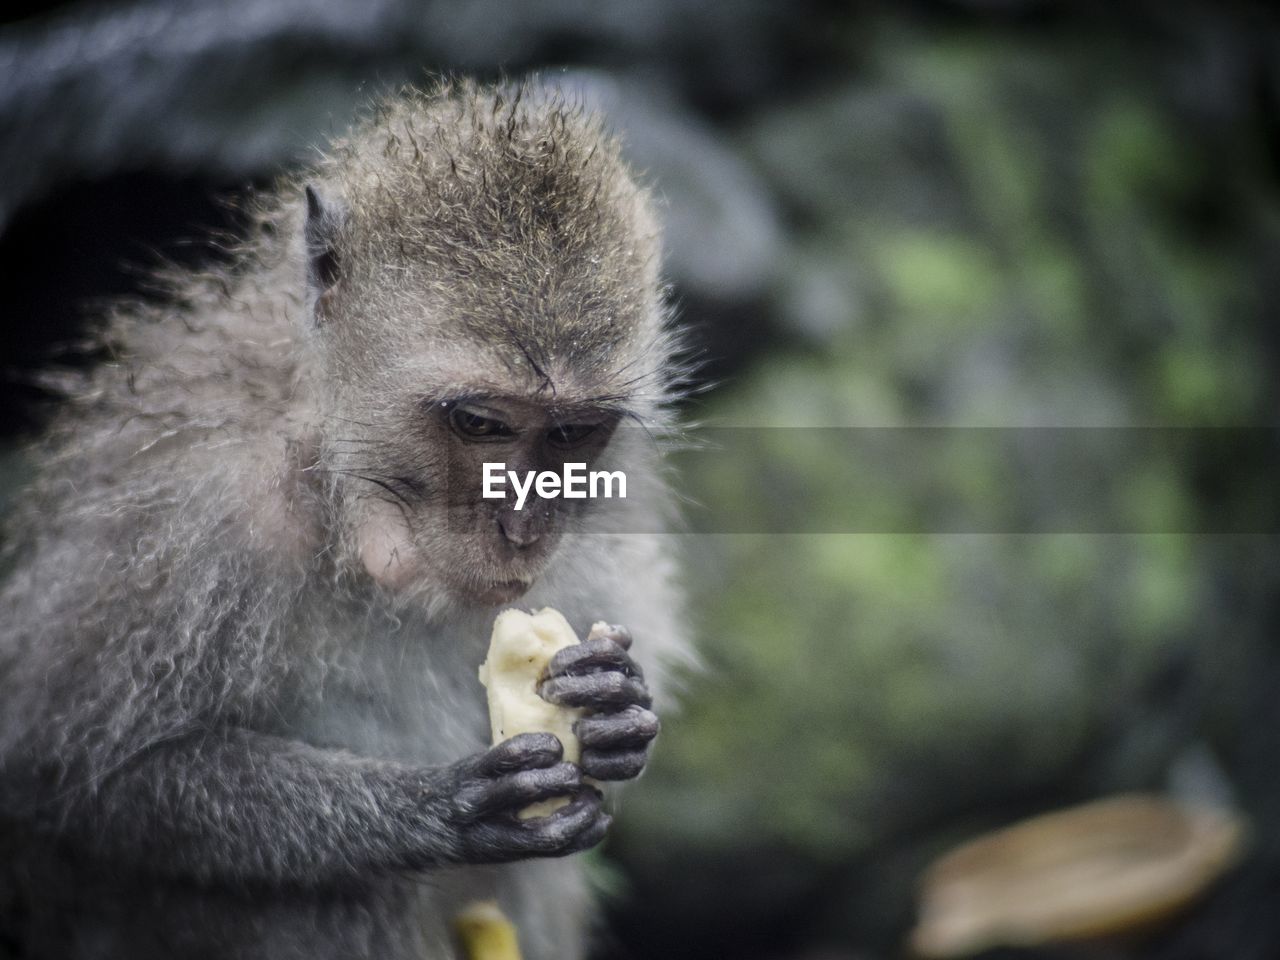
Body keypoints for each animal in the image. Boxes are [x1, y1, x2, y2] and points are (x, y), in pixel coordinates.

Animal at [0, 80, 691, 960]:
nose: (522, 531)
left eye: (572, 434)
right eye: (480, 423)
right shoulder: (186, 516)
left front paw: (618, 708)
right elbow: (77, 779)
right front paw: (431, 811)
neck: (334, 474)